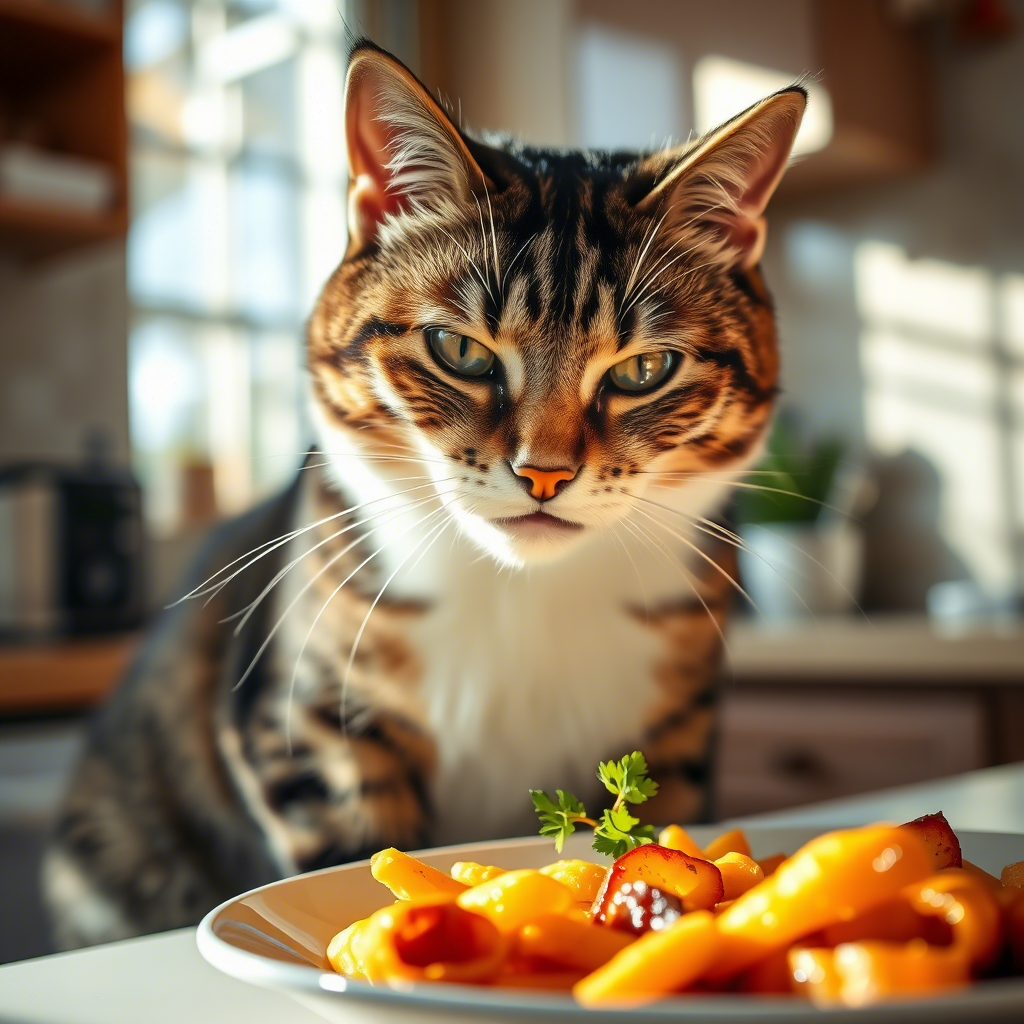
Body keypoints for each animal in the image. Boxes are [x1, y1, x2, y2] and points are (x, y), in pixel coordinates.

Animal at [41, 39, 806, 950]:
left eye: (645, 369)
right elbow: (360, 838)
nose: (544, 473)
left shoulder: (678, 732)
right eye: (460, 351)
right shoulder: (307, 724)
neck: (525, 595)